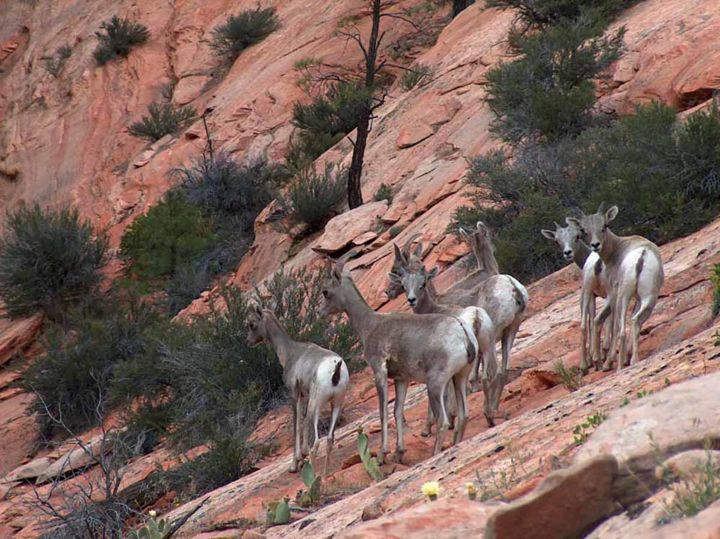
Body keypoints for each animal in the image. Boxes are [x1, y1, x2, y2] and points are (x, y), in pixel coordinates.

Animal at [246, 306, 350, 474]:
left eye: (252, 324)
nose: (248, 341)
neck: (291, 352)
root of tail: (336, 368)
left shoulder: (294, 396)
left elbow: (296, 424)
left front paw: (295, 464)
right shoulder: (304, 396)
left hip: (316, 405)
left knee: (316, 440)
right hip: (336, 404)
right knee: (329, 440)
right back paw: (325, 475)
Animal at [320, 262, 478, 464]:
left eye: (326, 291)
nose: (321, 312)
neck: (371, 325)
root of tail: (463, 331)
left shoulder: (380, 372)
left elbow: (383, 412)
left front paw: (382, 454)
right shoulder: (401, 379)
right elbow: (397, 411)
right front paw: (399, 452)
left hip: (435, 385)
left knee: (443, 421)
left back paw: (434, 454)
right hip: (460, 378)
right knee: (463, 415)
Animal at [568, 207, 664, 372]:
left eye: (604, 226)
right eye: (584, 230)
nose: (595, 245)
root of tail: (642, 256)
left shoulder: (613, 293)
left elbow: (612, 325)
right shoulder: (638, 299)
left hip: (621, 296)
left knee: (618, 327)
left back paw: (613, 365)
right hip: (649, 298)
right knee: (635, 321)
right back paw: (633, 360)